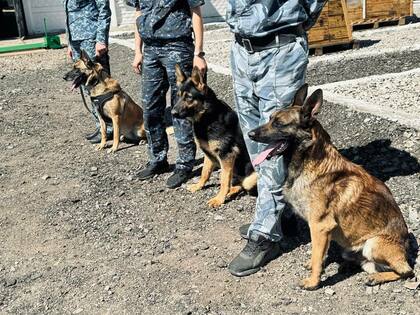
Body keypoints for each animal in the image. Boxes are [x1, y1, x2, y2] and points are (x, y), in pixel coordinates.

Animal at [172, 65, 258, 209]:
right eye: (178, 96)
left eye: (189, 97)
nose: (172, 113)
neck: (207, 118)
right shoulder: (209, 154)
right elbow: (205, 173)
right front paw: (198, 186)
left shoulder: (227, 155)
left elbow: (224, 180)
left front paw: (219, 199)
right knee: (237, 183)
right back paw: (231, 191)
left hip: (250, 177)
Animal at [249, 84, 414, 292]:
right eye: (270, 118)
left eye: (279, 123)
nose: (250, 135)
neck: (309, 160)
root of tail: (406, 251)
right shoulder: (319, 230)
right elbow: (317, 253)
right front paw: (313, 266)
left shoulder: (320, 226)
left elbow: (317, 256)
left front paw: (313, 282)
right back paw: (349, 266)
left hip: (373, 243)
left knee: (407, 272)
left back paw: (377, 278)